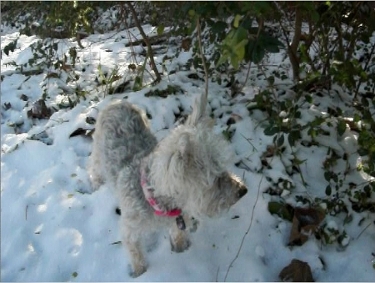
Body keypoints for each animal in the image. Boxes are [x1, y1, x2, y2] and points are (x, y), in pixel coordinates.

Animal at [87, 95, 248, 278]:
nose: (243, 190)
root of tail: (117, 101)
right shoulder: (130, 229)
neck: (157, 202)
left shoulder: (178, 219)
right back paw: (95, 183)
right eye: (215, 178)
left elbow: (178, 234)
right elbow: (136, 254)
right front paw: (140, 273)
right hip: (99, 150)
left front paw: (181, 250)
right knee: (94, 167)